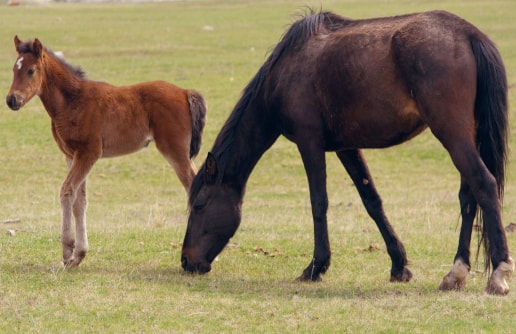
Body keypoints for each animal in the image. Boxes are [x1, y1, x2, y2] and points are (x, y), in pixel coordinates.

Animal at [6, 35, 207, 268]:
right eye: (14, 69)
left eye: (31, 70)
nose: (11, 100)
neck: (72, 101)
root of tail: (185, 92)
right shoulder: (71, 155)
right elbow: (79, 201)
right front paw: (78, 255)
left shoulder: (89, 153)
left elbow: (66, 191)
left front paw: (67, 251)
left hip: (174, 150)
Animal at [181, 9, 512, 294]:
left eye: (199, 205)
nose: (186, 261)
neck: (285, 72)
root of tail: (468, 33)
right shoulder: (347, 147)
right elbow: (372, 201)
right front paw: (398, 265)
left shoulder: (310, 142)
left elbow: (318, 202)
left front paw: (316, 267)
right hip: (465, 134)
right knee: (468, 196)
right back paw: (456, 272)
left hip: (451, 133)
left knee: (483, 184)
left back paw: (499, 271)